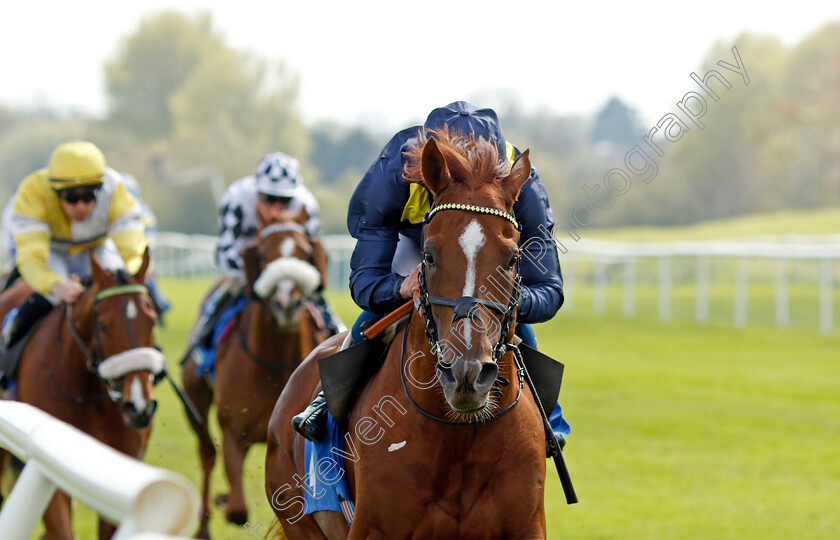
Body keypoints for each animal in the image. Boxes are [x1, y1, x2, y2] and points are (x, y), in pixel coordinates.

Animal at [182, 205, 330, 536]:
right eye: (262, 254)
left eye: (304, 253)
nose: (286, 302)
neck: (276, 363)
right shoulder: (233, 433)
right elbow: (238, 510)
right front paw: (225, 500)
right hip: (195, 399)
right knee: (206, 454)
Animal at [266, 131, 548, 540]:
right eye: (428, 256)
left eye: (512, 259)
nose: (466, 373)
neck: (459, 436)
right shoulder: (374, 529)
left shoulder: (526, 527)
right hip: (297, 517)